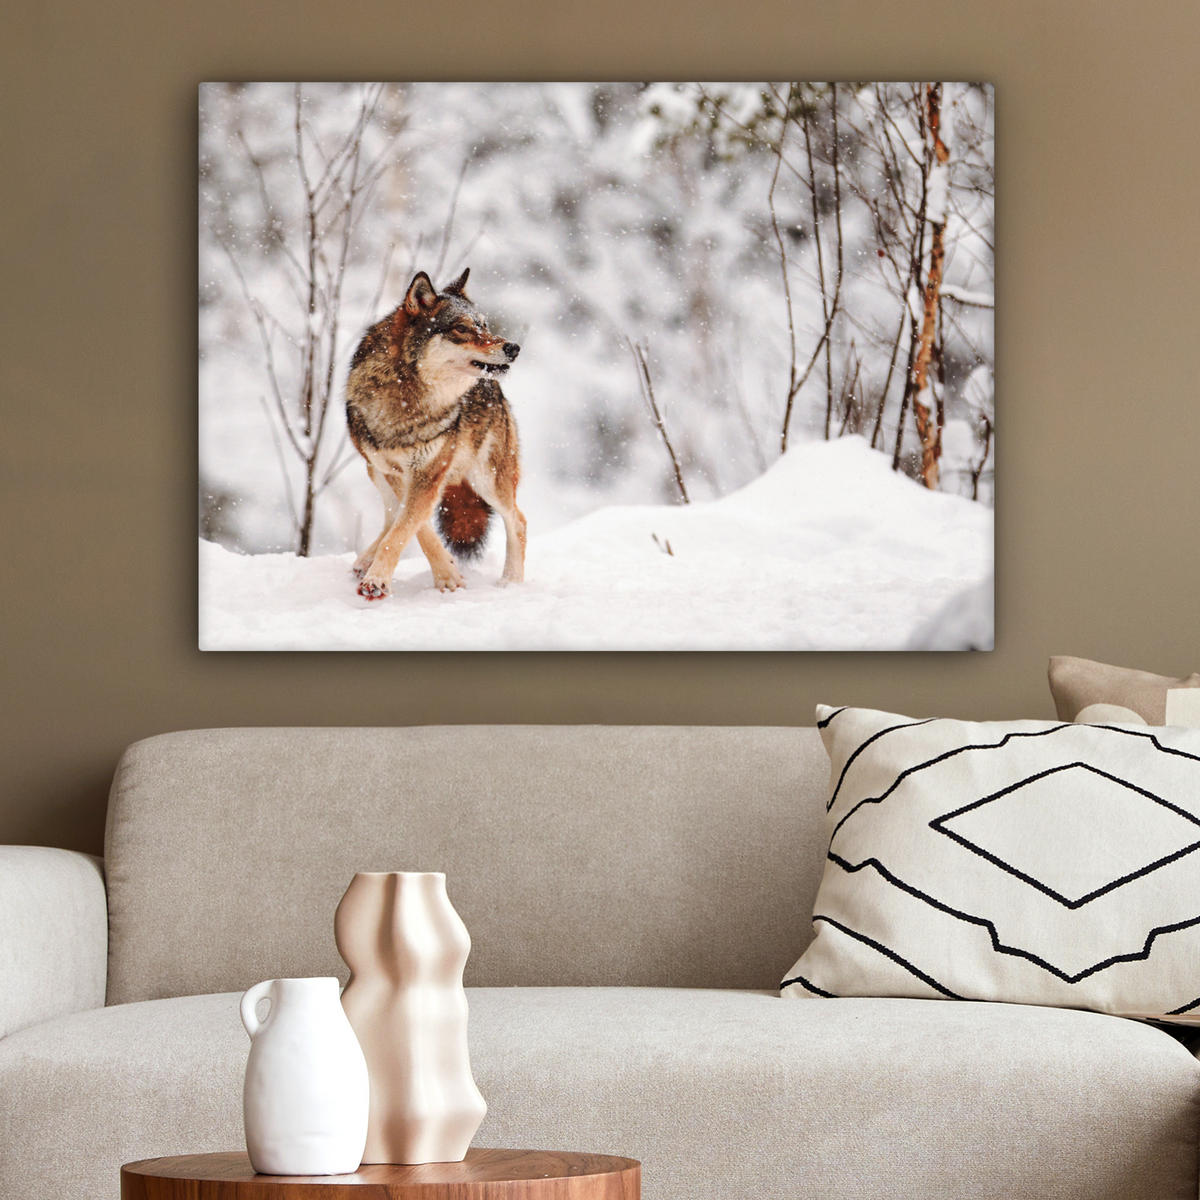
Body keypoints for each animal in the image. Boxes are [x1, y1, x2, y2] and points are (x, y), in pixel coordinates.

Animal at [344, 268, 526, 601]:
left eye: (484, 325)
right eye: (462, 328)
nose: (513, 348)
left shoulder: (428, 472)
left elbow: (405, 528)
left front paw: (379, 580)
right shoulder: (397, 472)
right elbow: (413, 526)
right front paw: (447, 574)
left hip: (488, 479)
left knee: (517, 520)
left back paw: (512, 582)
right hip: (374, 470)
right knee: (391, 515)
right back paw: (364, 561)